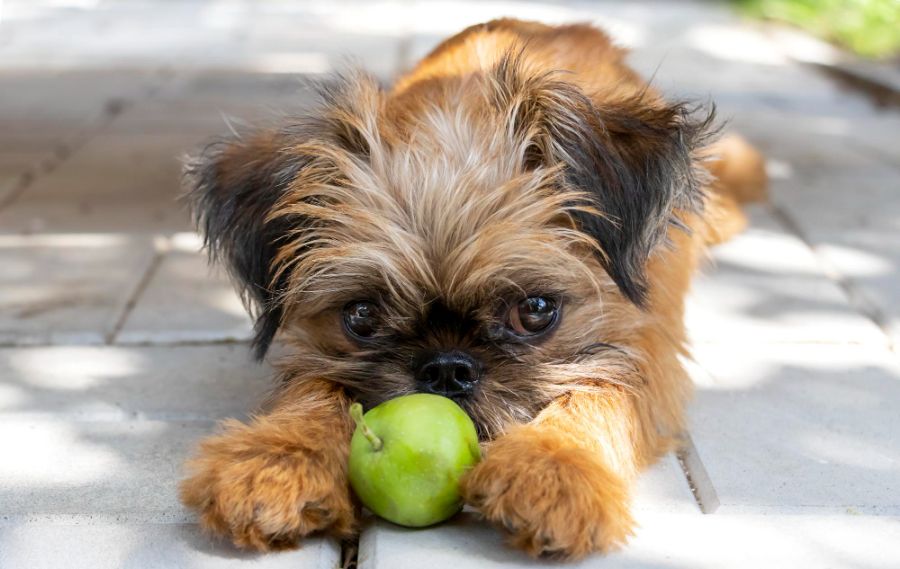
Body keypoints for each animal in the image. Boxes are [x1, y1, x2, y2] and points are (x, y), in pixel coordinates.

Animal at [178, 18, 768, 560]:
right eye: (362, 316)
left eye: (535, 311)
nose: (446, 368)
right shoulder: (317, 352)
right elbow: (313, 387)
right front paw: (277, 456)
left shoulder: (647, 347)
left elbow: (600, 391)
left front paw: (552, 463)